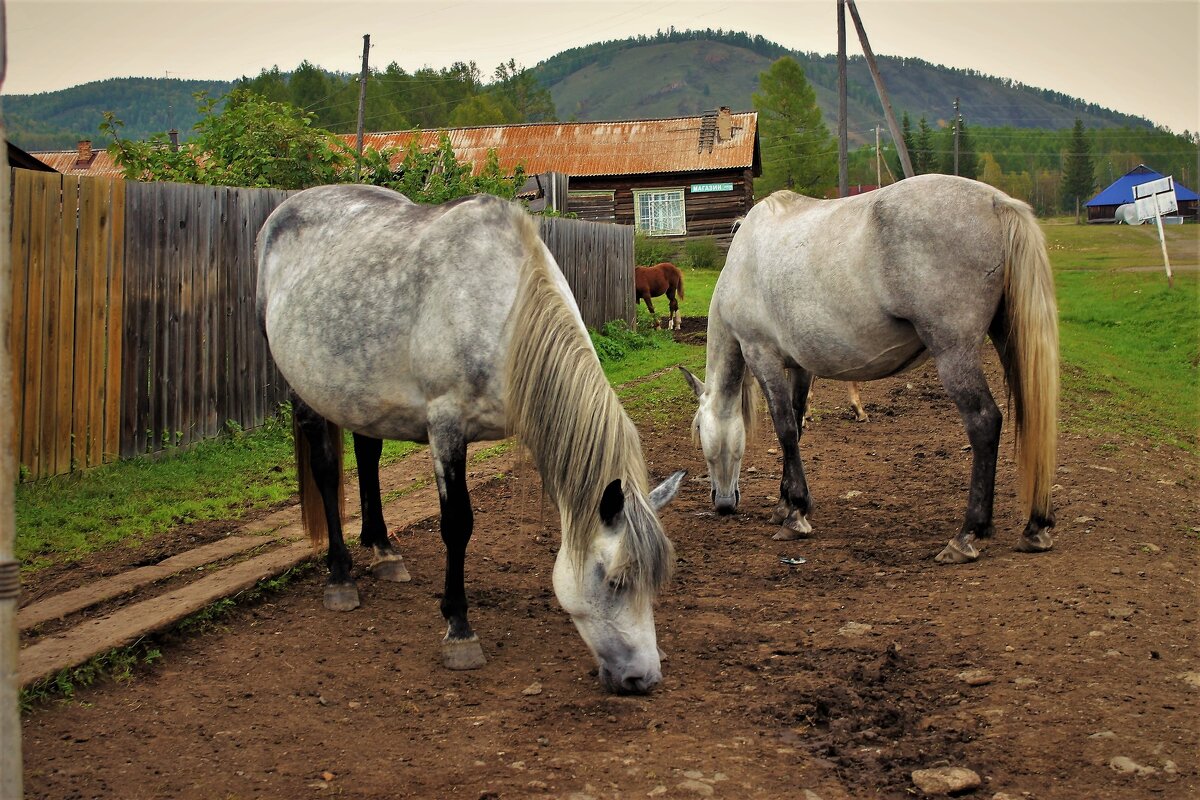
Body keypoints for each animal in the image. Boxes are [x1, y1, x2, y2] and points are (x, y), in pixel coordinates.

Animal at [256, 189, 681, 695]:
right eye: (615, 581)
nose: (645, 678)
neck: (506, 313)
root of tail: (284, 211)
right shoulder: (446, 428)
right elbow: (457, 525)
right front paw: (459, 629)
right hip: (305, 391)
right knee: (324, 471)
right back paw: (340, 577)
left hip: (362, 394)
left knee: (368, 453)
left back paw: (383, 550)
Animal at [686, 175, 1060, 563]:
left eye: (698, 430)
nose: (723, 504)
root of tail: (995, 201)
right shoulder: (801, 367)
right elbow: (797, 424)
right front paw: (785, 504)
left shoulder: (762, 356)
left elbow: (785, 429)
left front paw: (795, 515)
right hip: (1006, 337)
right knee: (1031, 414)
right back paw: (1036, 527)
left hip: (954, 353)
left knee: (985, 421)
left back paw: (967, 535)